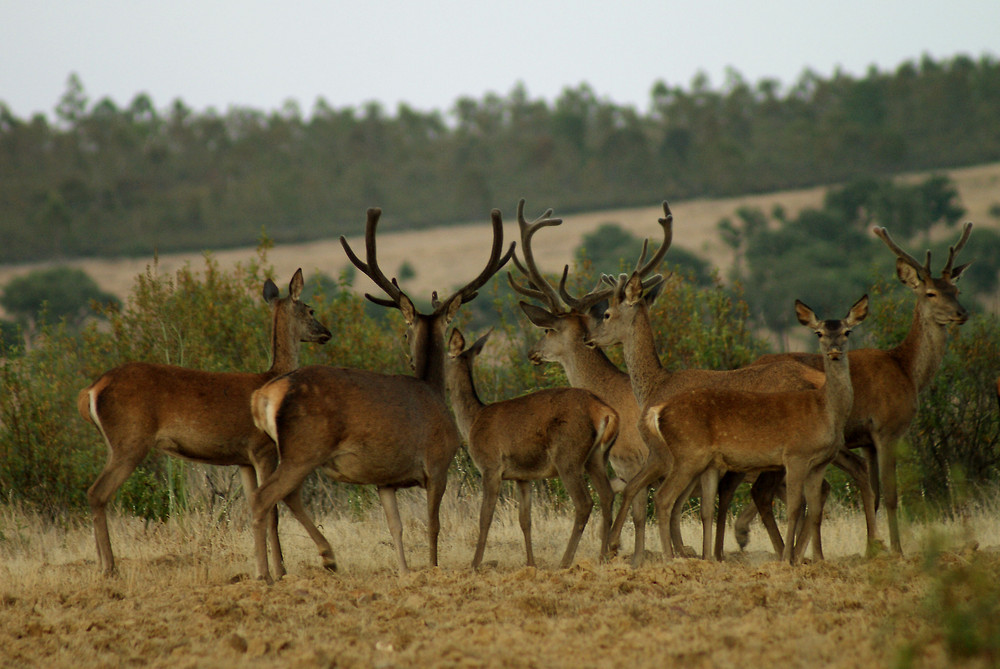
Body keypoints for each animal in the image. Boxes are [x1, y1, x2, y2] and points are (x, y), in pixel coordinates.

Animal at [76, 268, 332, 576]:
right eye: (310, 309)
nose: (327, 333)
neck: (272, 378)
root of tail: (91, 390)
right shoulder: (263, 448)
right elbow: (272, 512)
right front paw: (280, 572)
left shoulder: (243, 459)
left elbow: (254, 505)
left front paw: (264, 569)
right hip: (130, 440)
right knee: (97, 492)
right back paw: (109, 568)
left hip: (114, 444)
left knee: (94, 493)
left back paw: (103, 565)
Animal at [248, 206, 516, 580]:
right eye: (405, 334)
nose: (408, 353)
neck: (433, 390)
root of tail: (266, 396)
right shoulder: (438, 461)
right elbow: (433, 525)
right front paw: (433, 568)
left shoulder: (385, 480)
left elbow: (396, 526)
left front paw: (404, 571)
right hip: (304, 447)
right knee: (264, 498)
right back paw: (267, 574)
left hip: (290, 451)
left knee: (284, 497)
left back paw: (321, 558)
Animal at [444, 326, 616, 568]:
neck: (473, 421)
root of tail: (605, 411)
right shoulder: (522, 476)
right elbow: (525, 520)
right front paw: (531, 563)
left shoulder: (491, 466)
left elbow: (485, 516)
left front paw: (474, 564)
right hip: (597, 457)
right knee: (607, 496)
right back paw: (602, 558)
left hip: (568, 456)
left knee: (584, 503)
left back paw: (565, 562)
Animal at [592, 288, 868, 564]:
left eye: (607, 313)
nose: (589, 338)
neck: (653, 387)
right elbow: (704, 503)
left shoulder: (664, 454)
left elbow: (648, 494)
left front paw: (622, 547)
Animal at [748, 219, 972, 552]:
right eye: (931, 293)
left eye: (956, 289)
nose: (962, 313)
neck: (907, 371)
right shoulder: (887, 428)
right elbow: (890, 495)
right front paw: (896, 549)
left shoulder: (865, 440)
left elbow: (875, 494)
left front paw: (872, 548)